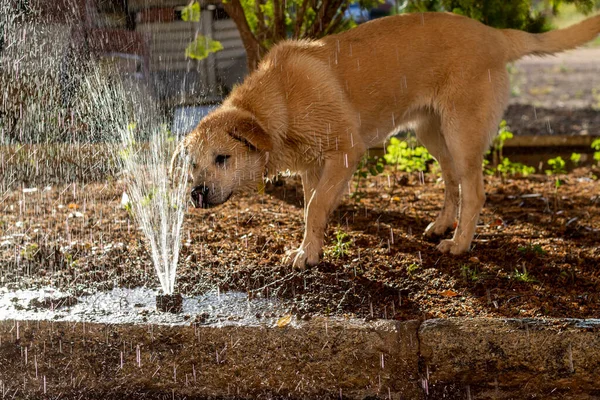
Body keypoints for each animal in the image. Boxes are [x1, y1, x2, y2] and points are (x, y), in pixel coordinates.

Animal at [177, 12, 600, 268]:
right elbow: (313, 209)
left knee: (475, 191)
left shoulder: (346, 151)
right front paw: (312, 248)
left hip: (462, 135)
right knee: (453, 183)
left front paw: (307, 254)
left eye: (223, 158)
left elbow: (314, 207)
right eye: (193, 165)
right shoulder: (314, 167)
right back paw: (442, 226)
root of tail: (492, 34)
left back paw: (459, 244)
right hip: (433, 134)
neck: (279, 99)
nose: (196, 194)